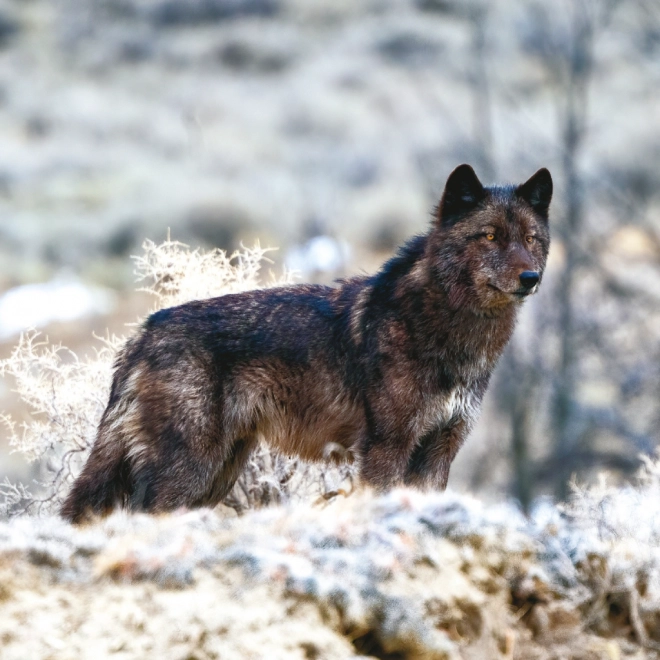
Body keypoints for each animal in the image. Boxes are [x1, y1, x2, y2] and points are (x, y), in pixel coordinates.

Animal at [62, 166, 552, 524]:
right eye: (490, 235)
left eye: (531, 239)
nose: (531, 278)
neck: (450, 331)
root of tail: (143, 332)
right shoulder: (386, 450)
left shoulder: (439, 452)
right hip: (189, 471)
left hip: (216, 476)